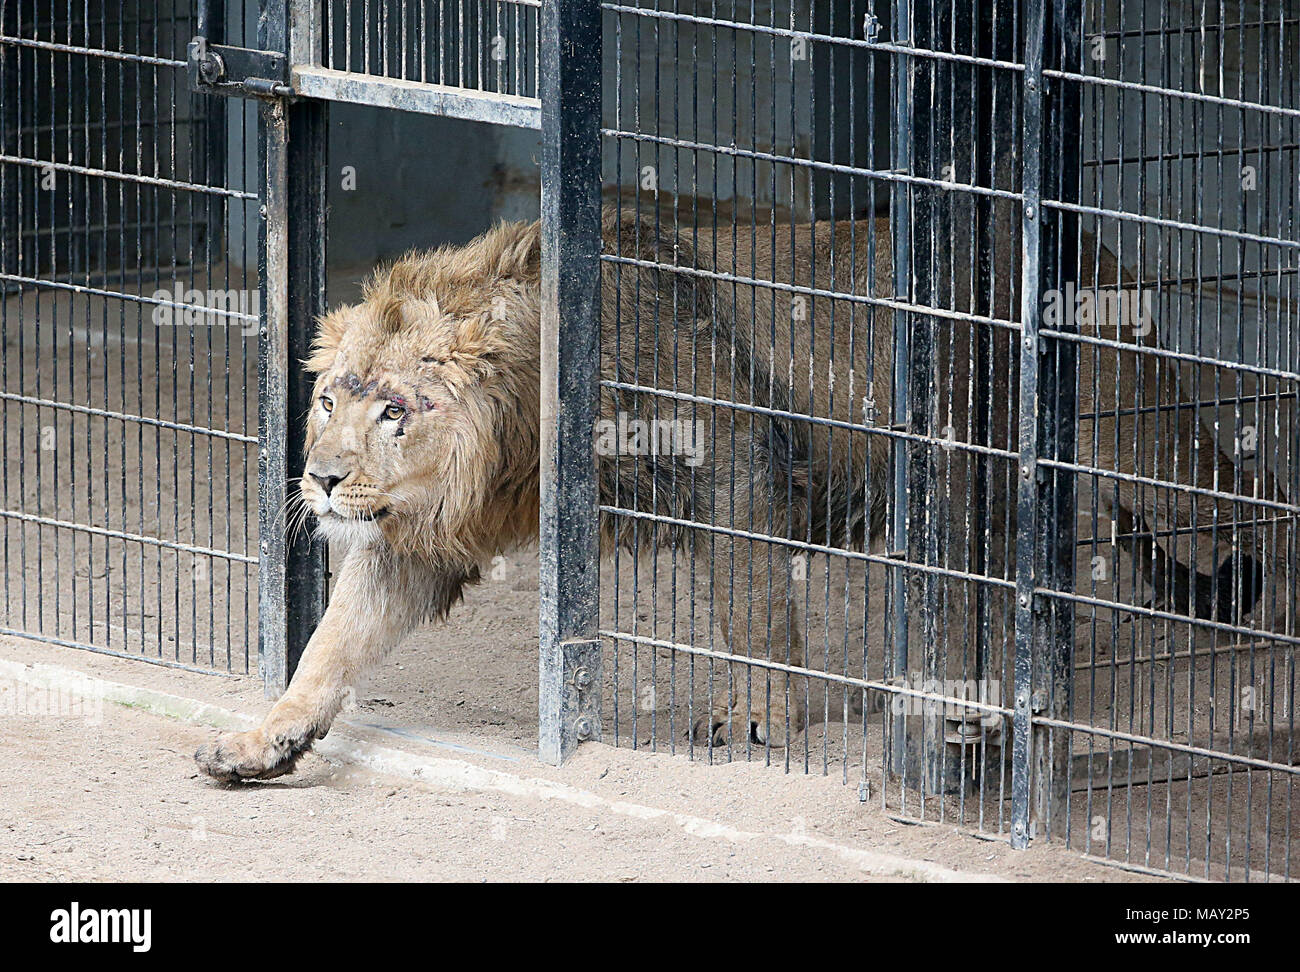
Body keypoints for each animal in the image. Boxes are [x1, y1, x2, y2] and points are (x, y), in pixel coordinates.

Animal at [192, 205, 1268, 779]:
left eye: (395, 411)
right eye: (327, 398)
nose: (321, 478)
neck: (521, 427)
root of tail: (1093, 246)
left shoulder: (743, 474)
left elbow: (751, 611)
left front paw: (756, 720)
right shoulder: (418, 536)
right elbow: (331, 644)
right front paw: (264, 737)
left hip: (1143, 436)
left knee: (1247, 496)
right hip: (977, 491)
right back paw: (992, 697)